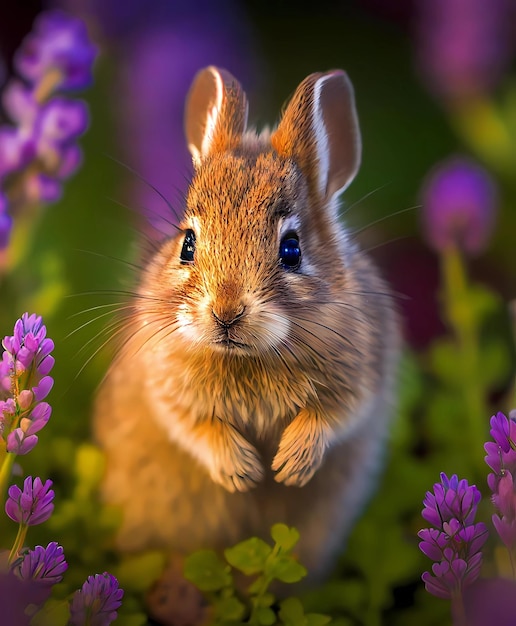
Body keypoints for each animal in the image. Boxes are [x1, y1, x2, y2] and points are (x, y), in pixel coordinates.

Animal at [93, 66, 400, 612]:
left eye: (292, 249)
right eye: (187, 243)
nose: (226, 312)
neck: (249, 355)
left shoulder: (362, 377)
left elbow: (332, 416)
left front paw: (289, 466)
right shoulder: (166, 387)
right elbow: (193, 425)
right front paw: (244, 473)